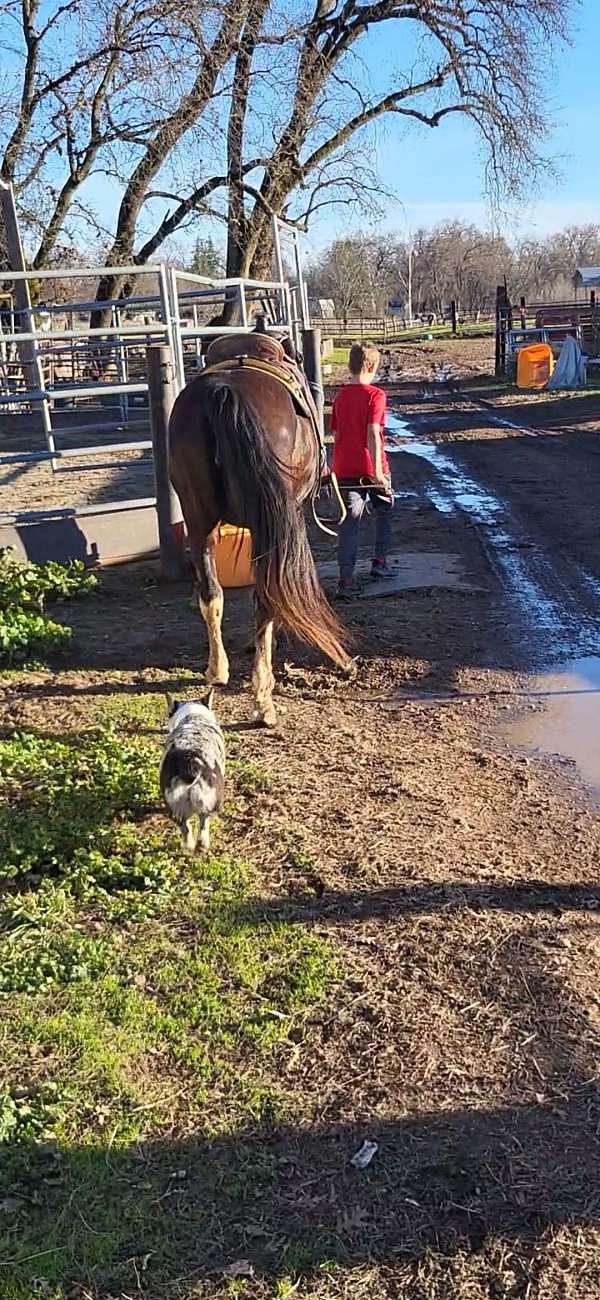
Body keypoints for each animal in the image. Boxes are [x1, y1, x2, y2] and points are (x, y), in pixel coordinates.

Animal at [167, 338, 350, 722]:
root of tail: (223, 392)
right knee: (265, 597)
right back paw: (263, 698)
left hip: (198, 517)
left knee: (211, 592)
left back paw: (217, 670)